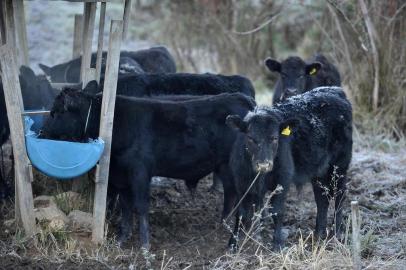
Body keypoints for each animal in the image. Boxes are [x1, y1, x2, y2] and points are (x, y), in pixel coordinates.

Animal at [41, 87, 255, 249]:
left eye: (57, 112)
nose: (42, 132)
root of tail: (240, 97)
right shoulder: (121, 176)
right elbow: (126, 207)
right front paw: (122, 238)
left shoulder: (140, 171)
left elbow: (141, 205)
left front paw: (145, 244)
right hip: (223, 166)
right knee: (231, 194)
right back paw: (224, 224)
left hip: (235, 168)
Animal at [225, 86, 352, 249]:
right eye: (250, 138)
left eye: (274, 138)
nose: (264, 164)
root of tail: (334, 90)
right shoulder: (241, 182)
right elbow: (240, 212)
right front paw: (232, 244)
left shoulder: (283, 179)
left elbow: (277, 211)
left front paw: (278, 244)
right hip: (319, 171)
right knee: (321, 199)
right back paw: (318, 234)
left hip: (340, 166)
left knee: (339, 196)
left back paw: (337, 232)